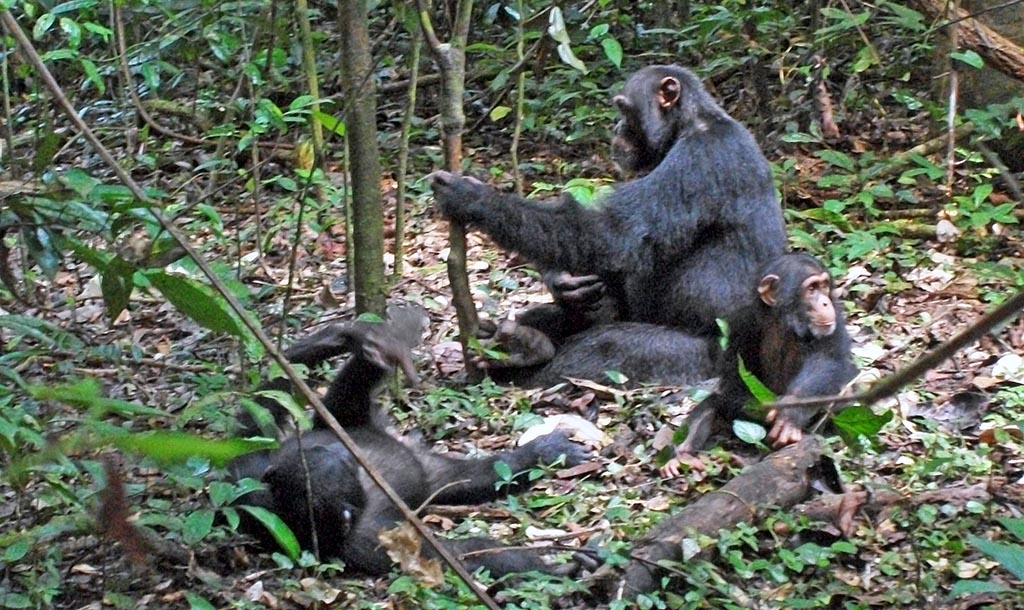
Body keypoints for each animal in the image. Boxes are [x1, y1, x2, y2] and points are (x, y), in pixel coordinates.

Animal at [227, 309, 589, 577]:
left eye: (330, 454)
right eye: (344, 467)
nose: (346, 453)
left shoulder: (252, 482)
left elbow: (251, 428)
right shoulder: (371, 542)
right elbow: (453, 557)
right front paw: (555, 571)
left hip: (347, 418)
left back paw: (368, 340)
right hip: (424, 468)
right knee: (469, 477)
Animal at [428, 65, 786, 380]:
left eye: (625, 110)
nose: (616, 129)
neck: (685, 125)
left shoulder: (703, 156)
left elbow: (615, 233)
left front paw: (472, 197)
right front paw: (564, 283)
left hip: (702, 360)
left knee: (605, 347)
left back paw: (524, 355)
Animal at [659, 253, 860, 476]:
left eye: (824, 286)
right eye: (811, 289)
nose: (825, 302)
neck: (783, 319)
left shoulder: (836, 317)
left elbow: (829, 360)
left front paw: (790, 411)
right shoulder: (741, 320)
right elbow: (735, 382)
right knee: (711, 405)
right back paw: (683, 455)